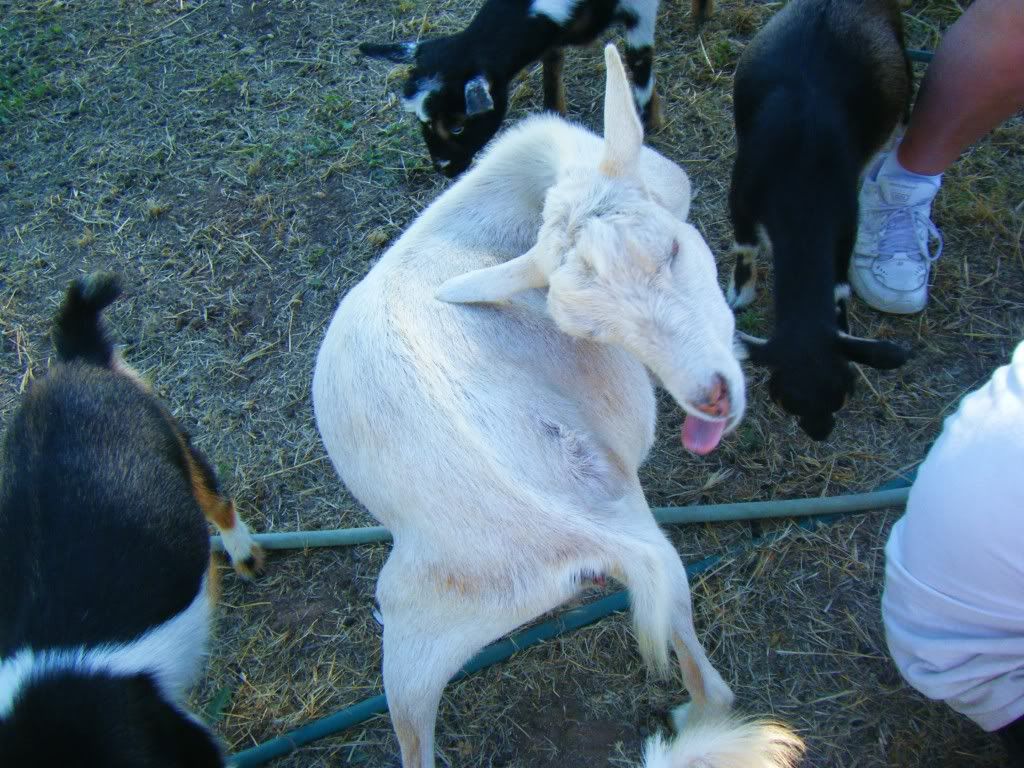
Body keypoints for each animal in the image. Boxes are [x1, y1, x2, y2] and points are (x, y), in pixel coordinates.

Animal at [313, 44, 802, 768]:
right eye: (591, 331)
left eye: (672, 249)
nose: (709, 397)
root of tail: (567, 533)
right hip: (628, 522)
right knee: (708, 675)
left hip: (423, 632)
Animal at [360, 0, 711, 177]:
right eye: (422, 122)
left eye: (458, 125)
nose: (443, 169)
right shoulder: (551, 36)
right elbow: (552, 67)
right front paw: (554, 119)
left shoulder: (641, 9)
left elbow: (640, 61)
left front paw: (649, 126)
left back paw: (700, 16)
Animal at [725, 0, 912, 440]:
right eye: (783, 399)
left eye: (845, 393)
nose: (820, 434)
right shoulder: (741, 197)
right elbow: (746, 245)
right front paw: (740, 293)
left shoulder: (845, 221)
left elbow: (840, 282)